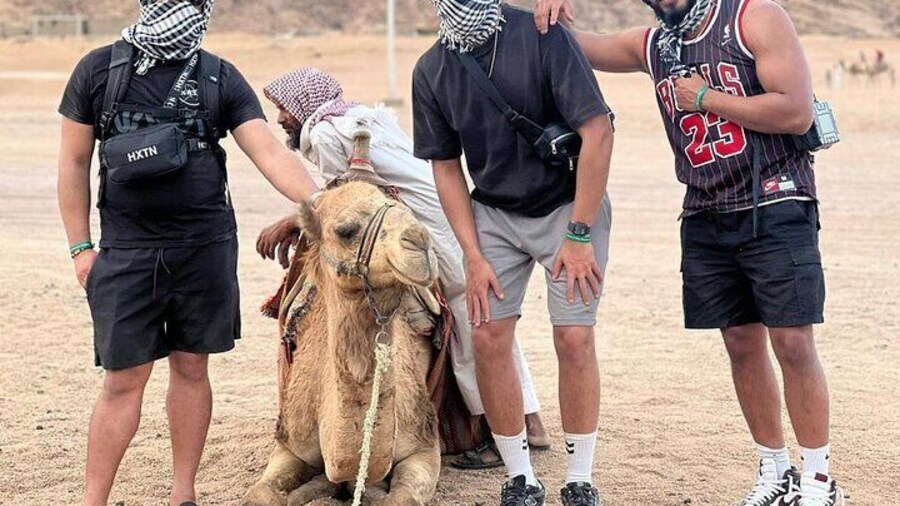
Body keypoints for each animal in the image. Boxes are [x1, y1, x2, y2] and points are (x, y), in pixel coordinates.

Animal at [242, 137, 442, 506]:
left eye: (408, 212)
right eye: (345, 230)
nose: (420, 243)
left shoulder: (423, 446)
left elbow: (400, 498)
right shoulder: (289, 445)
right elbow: (263, 495)